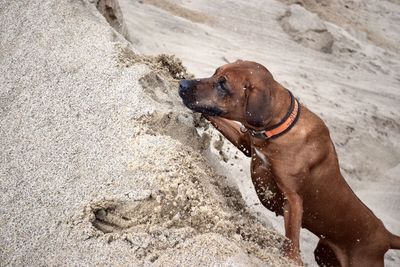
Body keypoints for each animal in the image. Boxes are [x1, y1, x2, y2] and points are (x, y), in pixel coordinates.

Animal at [179, 61, 400, 267]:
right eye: (215, 73)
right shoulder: (245, 143)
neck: (279, 127)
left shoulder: (293, 200)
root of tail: (385, 234)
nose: (183, 84)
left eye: (223, 85)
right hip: (324, 253)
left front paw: (290, 259)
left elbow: (292, 241)